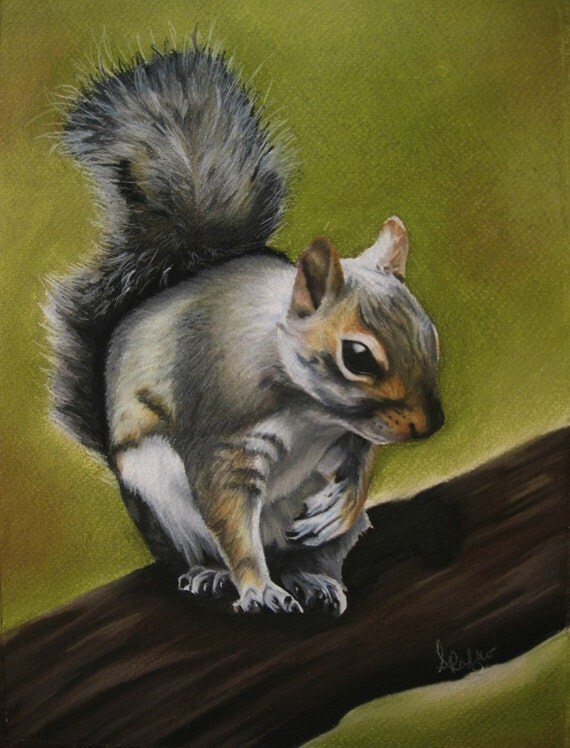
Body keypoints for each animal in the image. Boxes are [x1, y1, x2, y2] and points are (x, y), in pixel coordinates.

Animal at [46, 43, 444, 616]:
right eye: (357, 356)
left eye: (429, 335)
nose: (429, 425)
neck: (310, 409)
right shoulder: (222, 441)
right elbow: (232, 522)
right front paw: (255, 586)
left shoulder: (348, 433)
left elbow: (362, 461)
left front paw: (345, 501)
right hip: (162, 501)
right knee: (212, 545)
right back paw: (214, 575)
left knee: (309, 555)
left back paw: (313, 577)